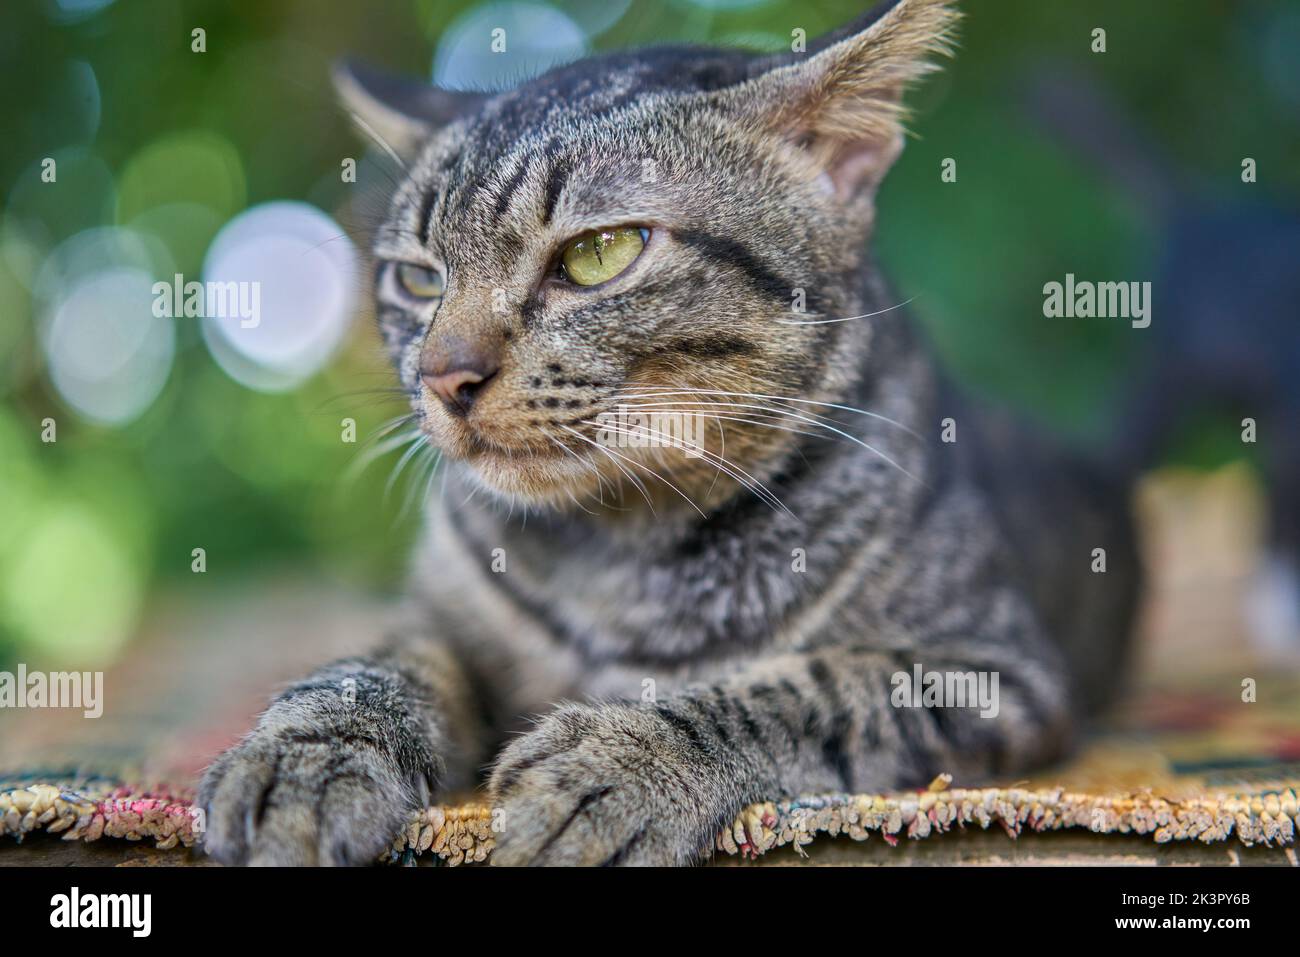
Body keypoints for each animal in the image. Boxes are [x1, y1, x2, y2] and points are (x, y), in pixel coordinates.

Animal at [195, 0, 1138, 868]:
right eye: (418, 279)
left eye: (600, 253)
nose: (442, 375)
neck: (616, 549)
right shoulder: (440, 619)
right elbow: (368, 668)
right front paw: (301, 754)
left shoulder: (988, 669)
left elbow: (804, 688)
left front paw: (621, 760)